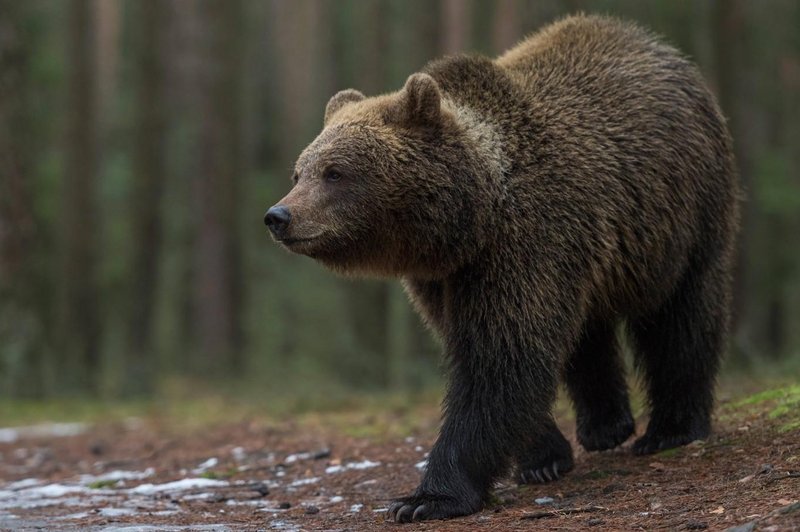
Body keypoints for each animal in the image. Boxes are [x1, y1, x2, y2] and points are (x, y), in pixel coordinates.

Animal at [266, 13, 740, 524]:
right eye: (300, 172)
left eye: (335, 172)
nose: (278, 216)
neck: (473, 217)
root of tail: (659, 48)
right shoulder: (445, 277)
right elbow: (502, 354)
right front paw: (542, 458)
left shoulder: (525, 242)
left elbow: (500, 359)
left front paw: (425, 498)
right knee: (586, 328)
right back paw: (605, 426)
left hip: (685, 211)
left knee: (682, 315)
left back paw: (670, 428)